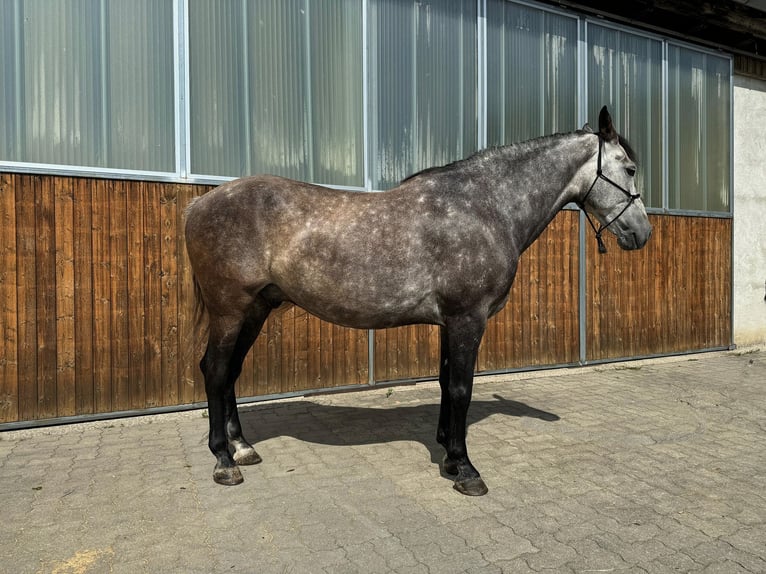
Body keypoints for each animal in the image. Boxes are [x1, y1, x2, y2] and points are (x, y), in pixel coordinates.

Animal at [186, 106, 656, 498]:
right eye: (630, 168)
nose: (642, 232)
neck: (485, 207)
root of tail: (201, 202)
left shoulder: (451, 322)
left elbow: (447, 384)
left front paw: (448, 454)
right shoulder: (468, 318)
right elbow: (462, 389)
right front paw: (466, 469)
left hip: (256, 309)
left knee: (231, 373)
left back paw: (242, 447)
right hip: (229, 310)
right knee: (215, 370)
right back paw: (224, 461)